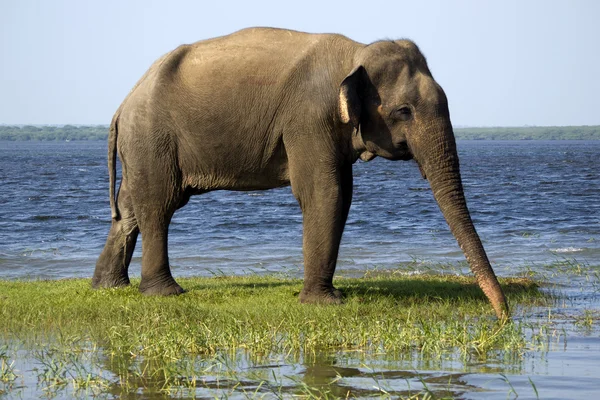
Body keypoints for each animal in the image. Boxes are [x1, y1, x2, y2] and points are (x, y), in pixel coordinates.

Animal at [91, 26, 508, 318]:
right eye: (404, 111)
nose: (502, 315)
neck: (355, 53)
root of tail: (123, 104)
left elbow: (342, 195)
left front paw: (328, 297)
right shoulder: (309, 118)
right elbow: (325, 192)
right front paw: (325, 304)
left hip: (143, 144)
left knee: (129, 208)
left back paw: (108, 287)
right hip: (153, 137)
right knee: (158, 205)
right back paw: (165, 292)